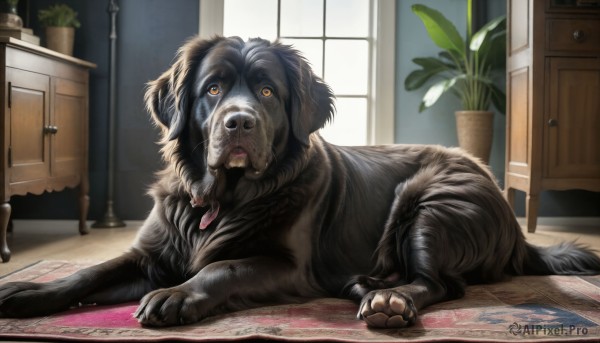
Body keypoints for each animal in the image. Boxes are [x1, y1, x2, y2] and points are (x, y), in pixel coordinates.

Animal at [1, 36, 600, 330]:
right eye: (213, 89)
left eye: (267, 92)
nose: (238, 123)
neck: (225, 198)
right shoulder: (152, 252)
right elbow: (91, 271)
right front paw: (26, 291)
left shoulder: (287, 265)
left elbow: (220, 268)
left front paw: (175, 296)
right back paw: (365, 286)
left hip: (431, 200)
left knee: (438, 284)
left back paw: (388, 301)